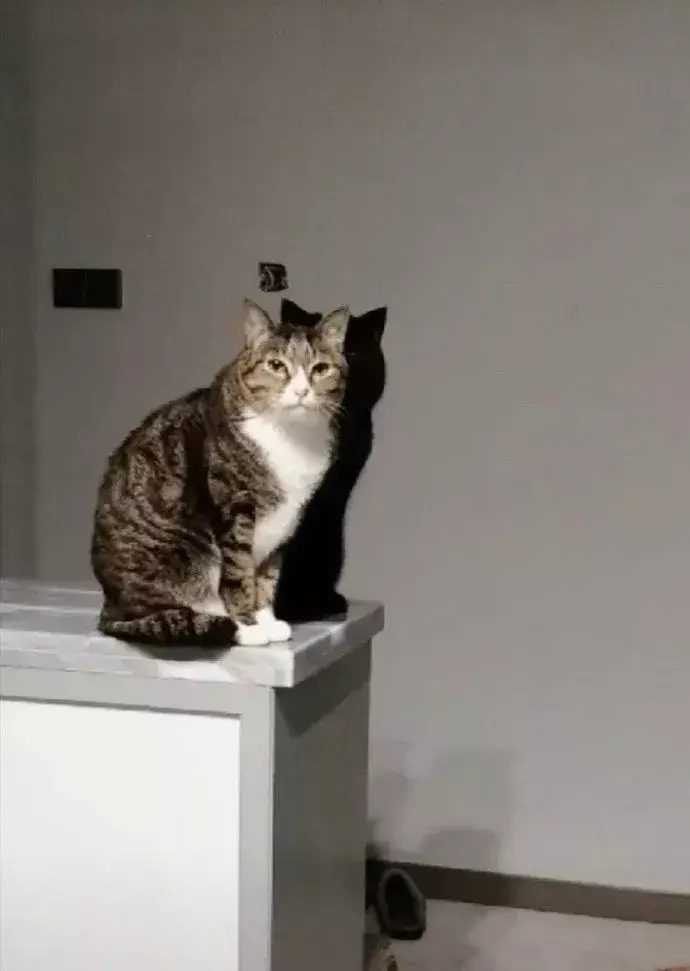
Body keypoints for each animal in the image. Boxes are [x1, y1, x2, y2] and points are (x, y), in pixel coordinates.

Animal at [91, 299, 350, 647]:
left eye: (320, 369)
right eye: (276, 365)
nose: (301, 391)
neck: (290, 435)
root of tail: (109, 610)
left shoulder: (286, 522)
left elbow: (266, 576)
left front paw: (267, 621)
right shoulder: (234, 508)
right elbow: (239, 575)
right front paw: (250, 626)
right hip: (184, 554)